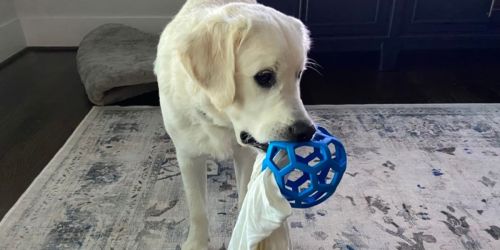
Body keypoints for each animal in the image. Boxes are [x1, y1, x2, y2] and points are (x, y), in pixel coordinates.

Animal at [154, 0, 314, 249]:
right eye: (265, 76)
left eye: (299, 75)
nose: (306, 132)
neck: (218, 120)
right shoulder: (188, 156)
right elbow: (197, 209)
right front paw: (197, 243)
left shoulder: (245, 155)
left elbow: (244, 194)